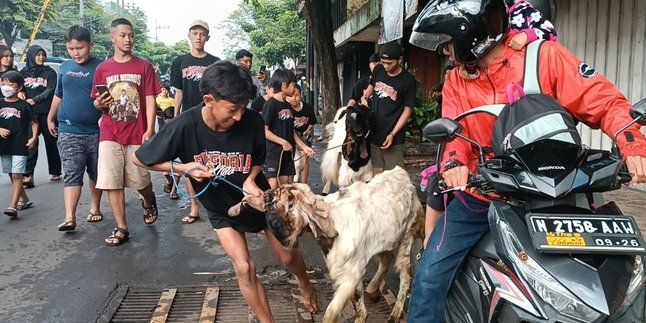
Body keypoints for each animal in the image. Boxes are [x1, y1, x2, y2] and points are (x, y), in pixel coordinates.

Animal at [230, 167, 428, 323]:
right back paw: (372, 290)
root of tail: (402, 174)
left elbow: (332, 312)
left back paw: (395, 313)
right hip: (386, 238)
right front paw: (362, 314)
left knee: (405, 275)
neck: (332, 221)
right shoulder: (350, 268)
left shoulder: (351, 273)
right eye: (266, 208)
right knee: (386, 259)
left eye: (290, 204)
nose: (278, 232)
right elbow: (357, 298)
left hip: (406, 236)